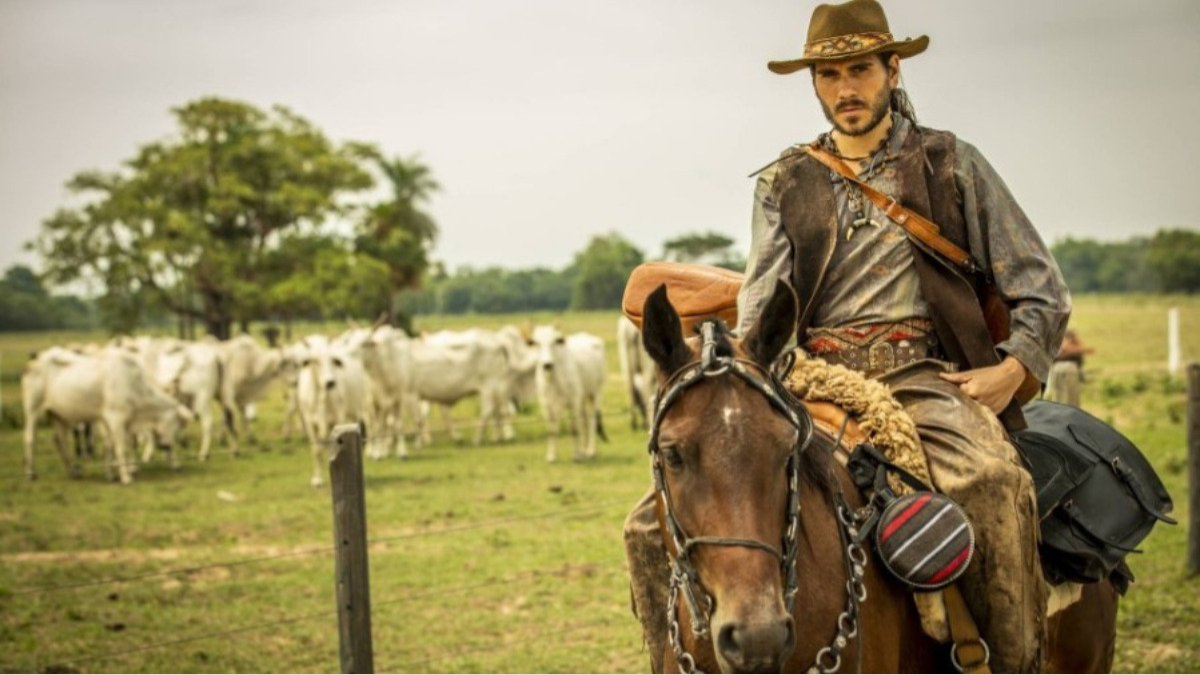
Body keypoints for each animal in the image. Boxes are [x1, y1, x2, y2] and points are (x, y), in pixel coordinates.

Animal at [23, 343, 193, 480]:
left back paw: (73, 471)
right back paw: (31, 473)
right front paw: (126, 476)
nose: (167, 446)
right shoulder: (116, 418)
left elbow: (109, 446)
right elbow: (120, 447)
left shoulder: (108, 421)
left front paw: (111, 474)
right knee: (30, 438)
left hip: (59, 416)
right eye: (178, 423)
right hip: (33, 409)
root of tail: (35, 359)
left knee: (60, 440)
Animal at [532, 324, 609, 458]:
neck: (553, 378)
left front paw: (577, 455)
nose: (547, 365)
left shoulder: (573, 401)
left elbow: (574, 429)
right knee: (584, 421)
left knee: (592, 420)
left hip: (596, 392)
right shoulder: (546, 405)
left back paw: (591, 450)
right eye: (536, 343)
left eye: (555, 341)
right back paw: (584, 449)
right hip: (582, 398)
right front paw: (551, 455)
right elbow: (551, 430)